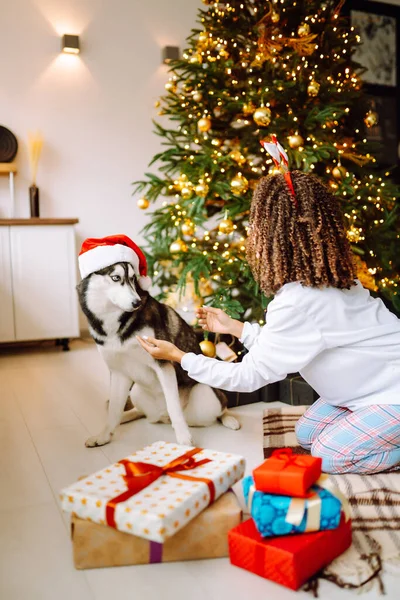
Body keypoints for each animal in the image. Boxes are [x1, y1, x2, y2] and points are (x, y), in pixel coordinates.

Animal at [78, 260, 241, 448]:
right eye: (116, 277)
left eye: (133, 278)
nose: (137, 302)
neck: (115, 325)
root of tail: (160, 417)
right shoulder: (119, 372)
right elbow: (114, 410)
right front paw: (104, 436)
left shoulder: (163, 364)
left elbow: (173, 406)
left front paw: (184, 438)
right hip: (136, 391)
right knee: (138, 411)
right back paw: (127, 416)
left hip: (206, 394)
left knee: (221, 407)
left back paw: (229, 419)